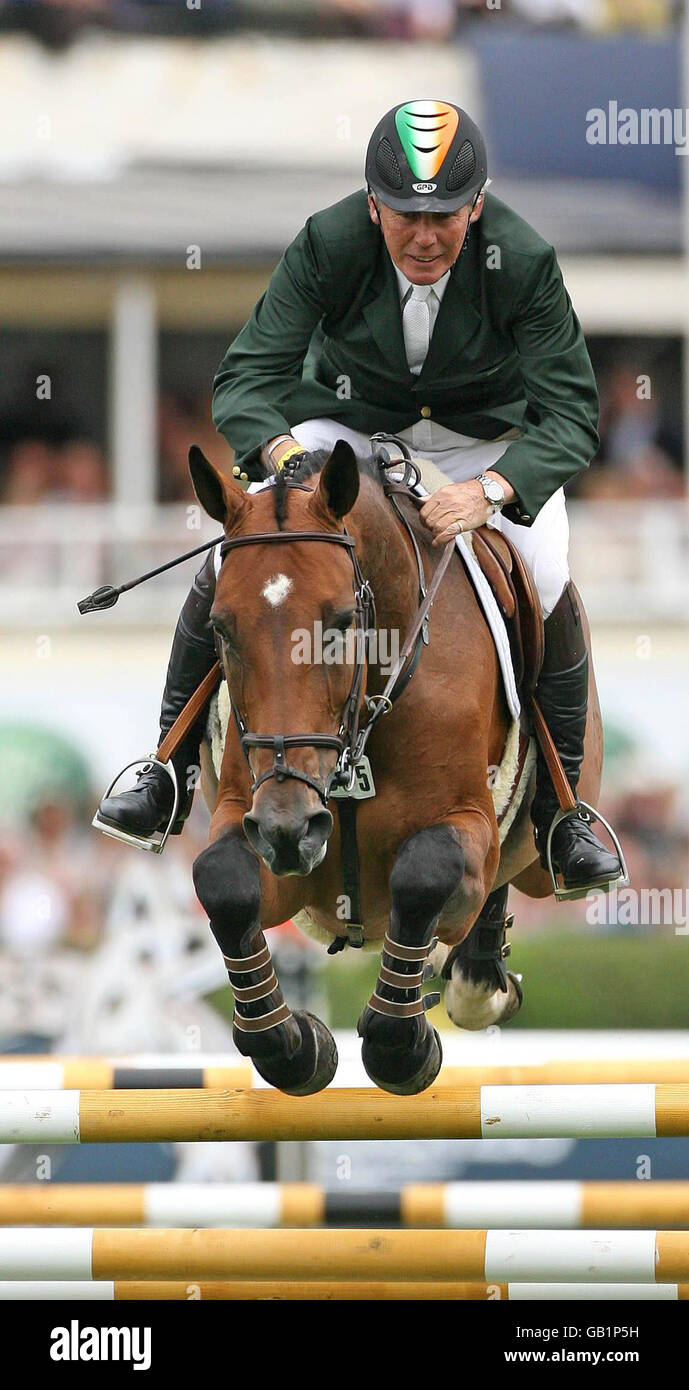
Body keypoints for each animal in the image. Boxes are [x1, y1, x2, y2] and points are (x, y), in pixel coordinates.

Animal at [190, 439, 604, 1095]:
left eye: (341, 623)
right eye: (219, 629)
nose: (288, 829)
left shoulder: (466, 824)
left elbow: (426, 871)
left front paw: (402, 1045)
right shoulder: (253, 823)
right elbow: (222, 880)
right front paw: (295, 1043)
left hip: (540, 855)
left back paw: (482, 977)